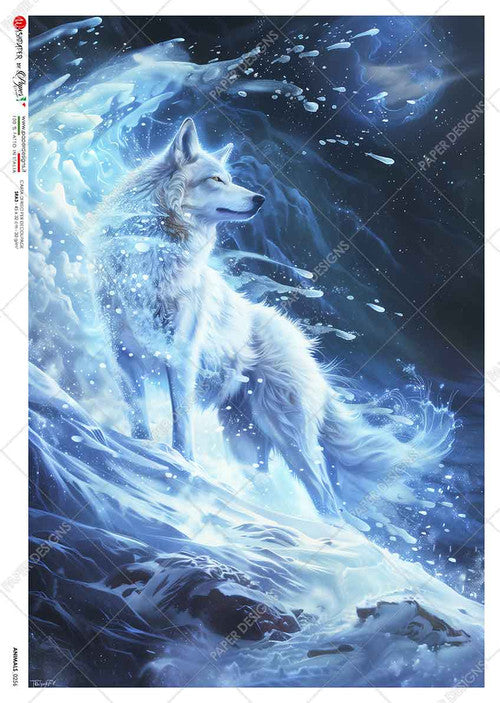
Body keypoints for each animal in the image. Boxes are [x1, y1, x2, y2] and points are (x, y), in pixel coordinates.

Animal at [92, 118, 450, 519]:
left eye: (230, 178)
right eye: (217, 179)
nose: (259, 199)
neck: (152, 253)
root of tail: (304, 347)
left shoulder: (182, 358)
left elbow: (180, 426)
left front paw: (181, 467)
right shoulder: (123, 354)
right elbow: (137, 417)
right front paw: (141, 453)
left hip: (290, 440)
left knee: (327, 498)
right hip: (246, 443)